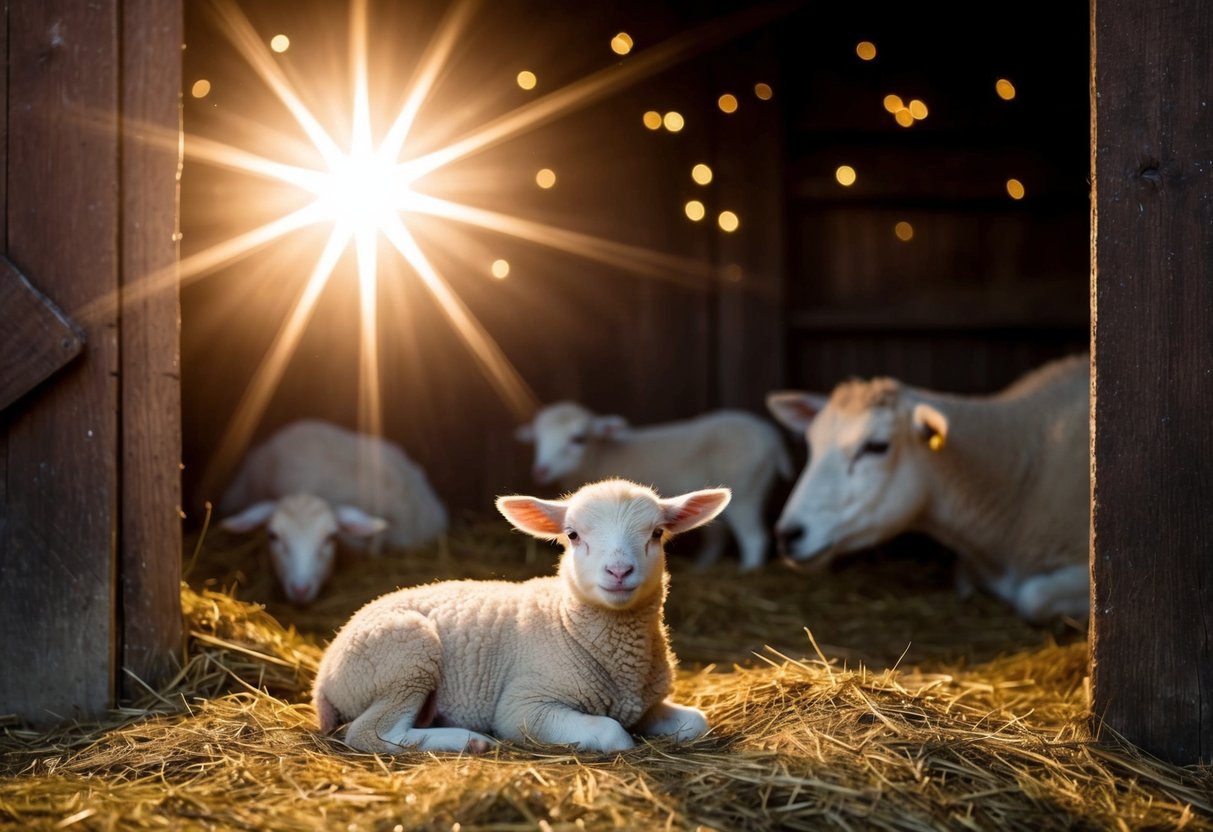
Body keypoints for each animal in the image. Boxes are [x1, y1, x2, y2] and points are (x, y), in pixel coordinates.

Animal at [311, 477, 729, 754]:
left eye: (657, 533)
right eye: (573, 535)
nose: (619, 571)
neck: (568, 623)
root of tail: (324, 671)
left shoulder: (645, 706)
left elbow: (697, 722)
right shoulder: (524, 705)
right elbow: (615, 734)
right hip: (403, 658)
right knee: (370, 734)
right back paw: (469, 741)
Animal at [514, 402, 792, 571]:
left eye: (578, 439)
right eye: (538, 439)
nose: (540, 470)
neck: (601, 455)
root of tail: (772, 437)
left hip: (746, 489)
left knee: (754, 537)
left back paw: (748, 570)